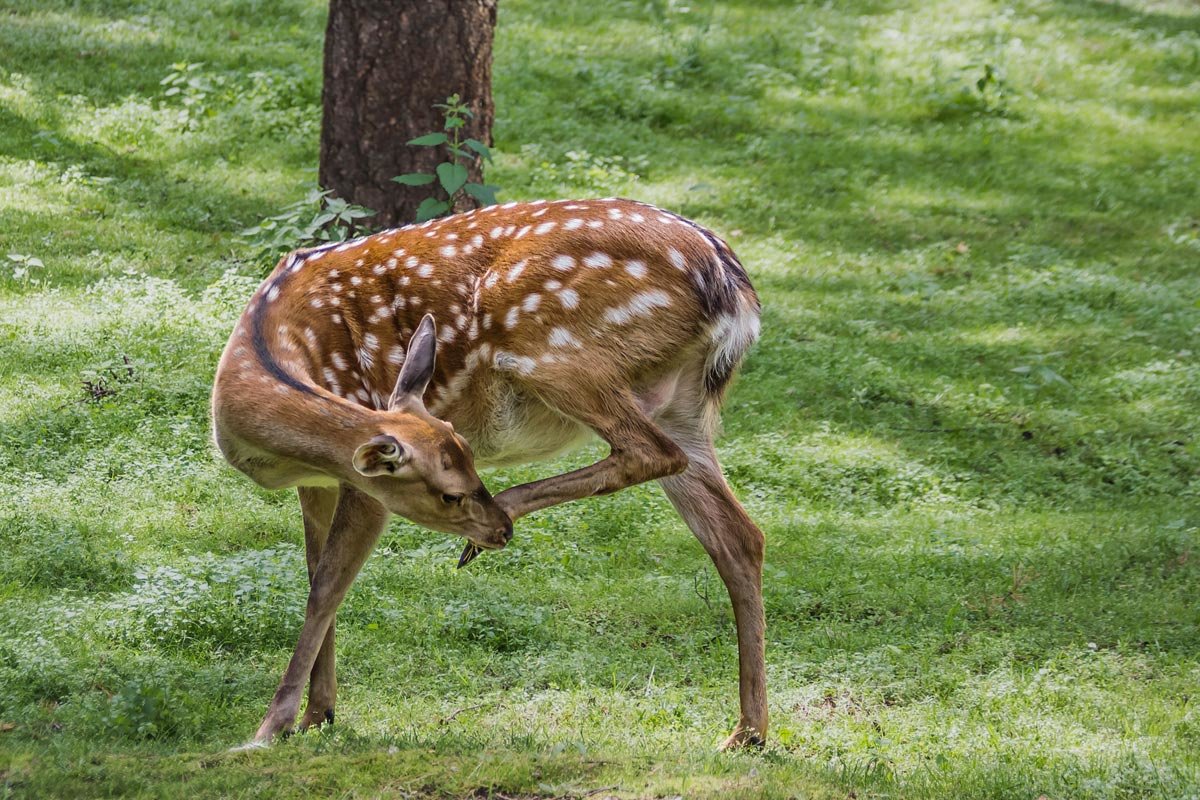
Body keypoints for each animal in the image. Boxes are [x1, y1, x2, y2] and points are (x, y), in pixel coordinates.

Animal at [211, 195, 763, 753]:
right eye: (450, 493)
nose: (496, 525)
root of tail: (731, 283)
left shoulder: (364, 483)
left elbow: (326, 587)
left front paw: (271, 727)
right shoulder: (317, 481)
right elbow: (316, 575)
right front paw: (316, 715)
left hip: (557, 352)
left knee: (651, 452)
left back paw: (499, 519)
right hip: (681, 398)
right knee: (738, 535)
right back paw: (748, 731)